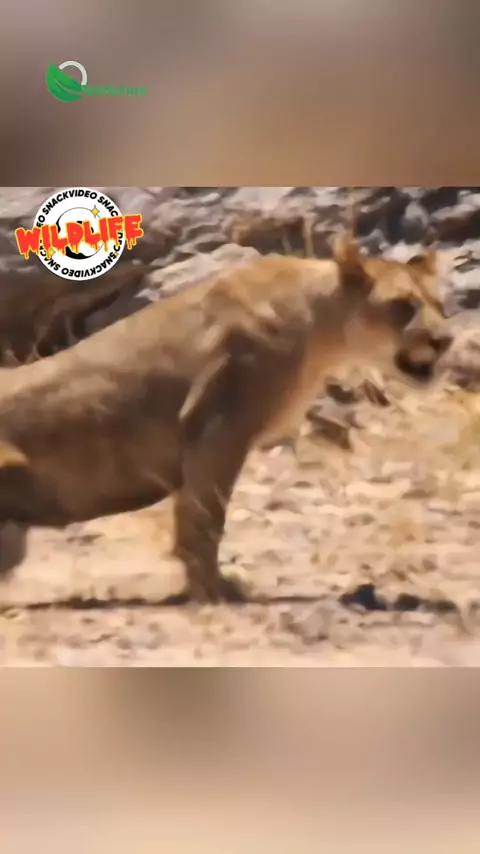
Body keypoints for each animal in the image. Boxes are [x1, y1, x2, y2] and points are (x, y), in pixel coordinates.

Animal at [0, 234, 453, 603]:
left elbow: (192, 515)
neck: (323, 331)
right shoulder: (221, 424)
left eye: (439, 305)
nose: (445, 339)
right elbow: (205, 517)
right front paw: (214, 590)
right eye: (402, 305)